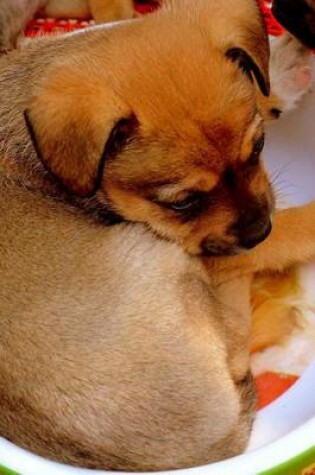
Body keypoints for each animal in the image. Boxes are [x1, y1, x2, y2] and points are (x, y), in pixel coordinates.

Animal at [0, 0, 314, 472]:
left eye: (258, 148)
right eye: (182, 204)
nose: (260, 229)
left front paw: (282, 69)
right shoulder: (207, 249)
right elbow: (289, 232)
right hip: (164, 258)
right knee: (239, 336)